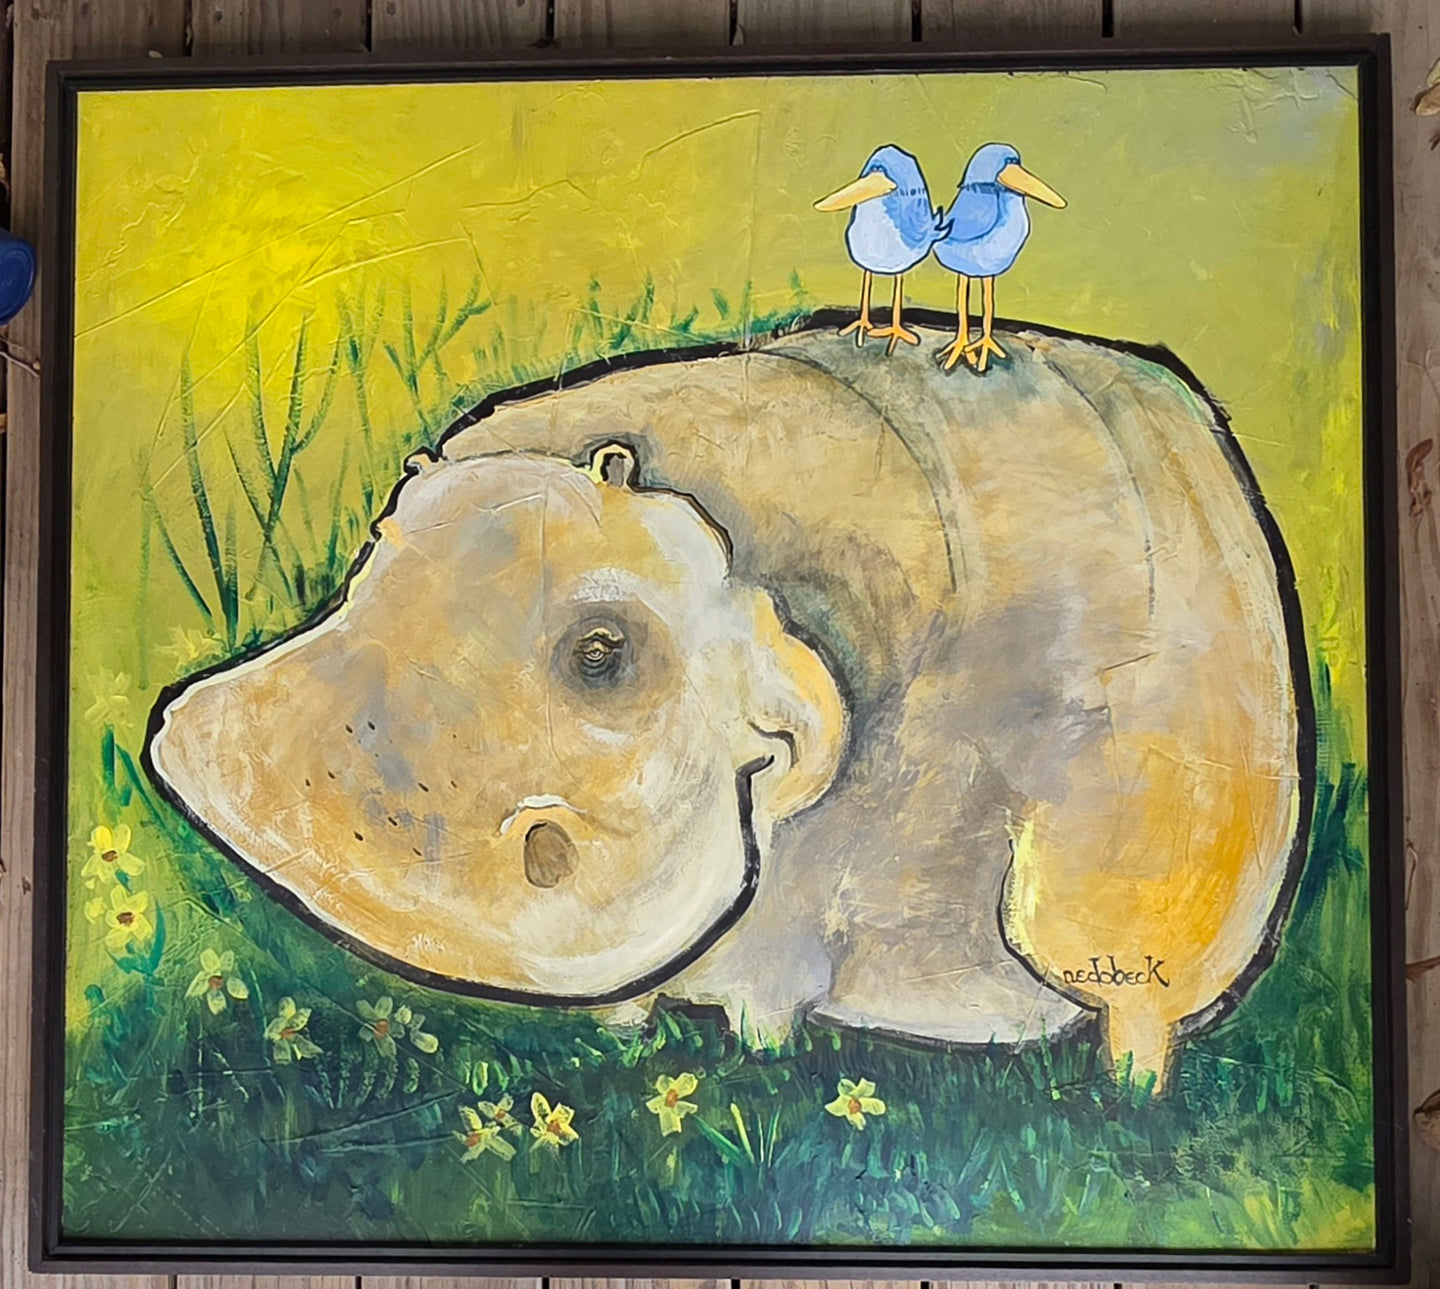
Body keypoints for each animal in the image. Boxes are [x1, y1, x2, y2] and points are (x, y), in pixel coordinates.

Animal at [147, 317, 1312, 1090]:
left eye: (602, 652)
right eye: (383, 548)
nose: (284, 810)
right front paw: (628, 1039)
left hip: (1106, 916)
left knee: (1132, 1018)